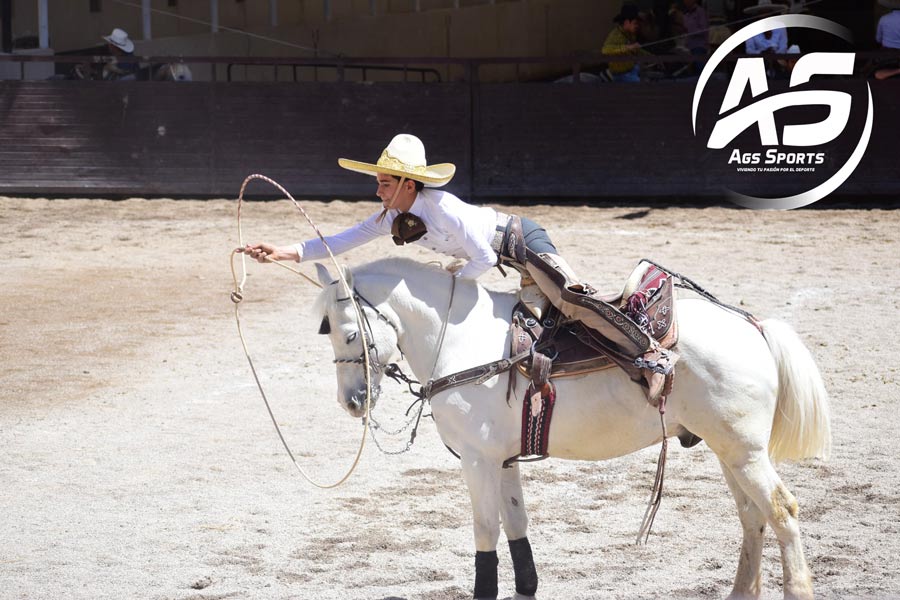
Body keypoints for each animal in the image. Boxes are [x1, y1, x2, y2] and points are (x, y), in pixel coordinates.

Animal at [312, 258, 828, 600]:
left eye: (349, 332)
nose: (352, 400)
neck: (458, 339)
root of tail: (752, 325)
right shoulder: (504, 460)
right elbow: (516, 523)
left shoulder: (479, 461)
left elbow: (486, 530)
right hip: (729, 452)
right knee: (752, 517)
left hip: (743, 452)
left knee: (782, 512)